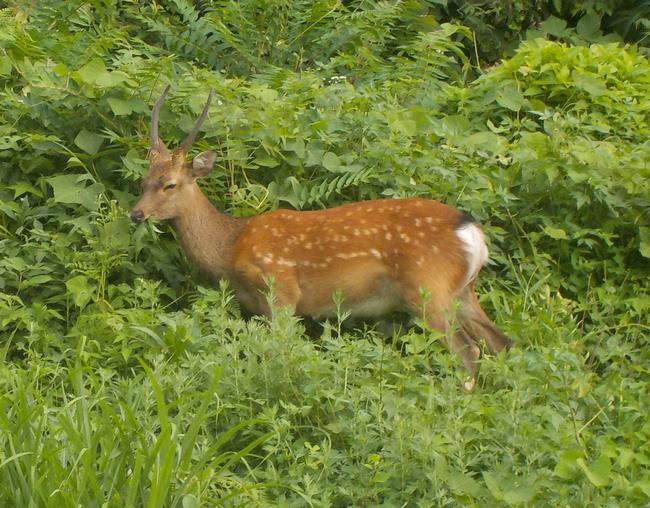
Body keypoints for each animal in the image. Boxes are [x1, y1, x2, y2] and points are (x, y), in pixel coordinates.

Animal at [129, 86, 508, 388]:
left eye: (170, 184)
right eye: (144, 182)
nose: (136, 213)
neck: (230, 247)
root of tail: (471, 230)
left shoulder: (281, 288)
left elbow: (279, 350)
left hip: (427, 286)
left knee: (468, 350)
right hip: (461, 291)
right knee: (500, 341)